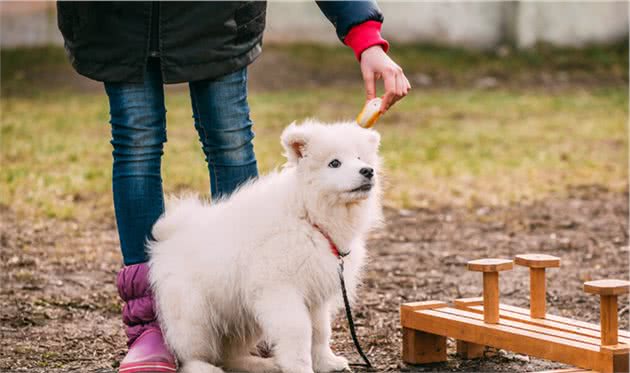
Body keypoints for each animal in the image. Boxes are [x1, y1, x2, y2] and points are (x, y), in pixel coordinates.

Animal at [149, 120, 386, 370]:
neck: (307, 215)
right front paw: (300, 368)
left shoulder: (315, 293)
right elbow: (299, 332)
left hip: (242, 316)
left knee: (228, 355)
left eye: (360, 158)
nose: (367, 171)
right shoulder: (280, 289)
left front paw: (326, 362)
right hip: (194, 316)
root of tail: (169, 236)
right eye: (334, 163)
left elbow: (320, 331)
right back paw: (208, 369)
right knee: (192, 356)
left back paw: (261, 365)